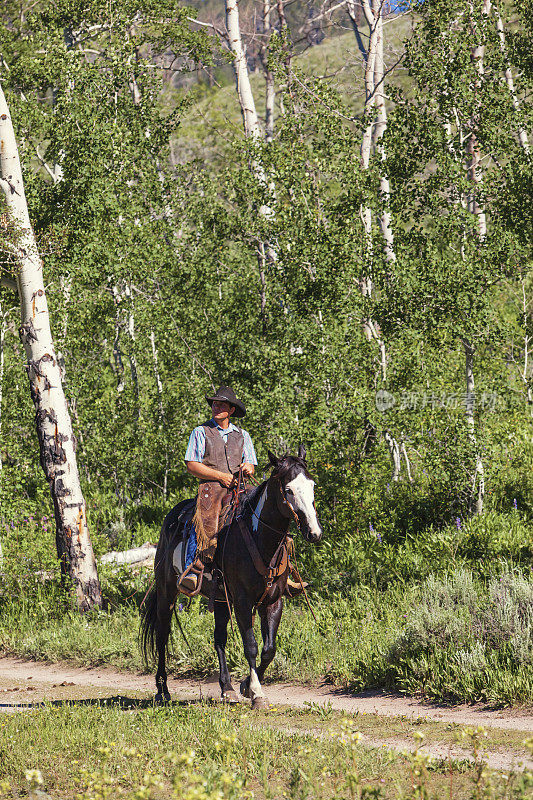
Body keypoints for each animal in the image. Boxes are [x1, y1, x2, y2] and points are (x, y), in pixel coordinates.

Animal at [140, 450, 320, 708]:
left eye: (312, 486)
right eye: (288, 490)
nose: (314, 532)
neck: (260, 540)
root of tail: (172, 516)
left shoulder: (273, 601)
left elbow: (269, 649)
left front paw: (245, 685)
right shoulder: (243, 602)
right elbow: (251, 646)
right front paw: (257, 693)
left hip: (220, 599)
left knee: (219, 639)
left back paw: (227, 688)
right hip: (167, 591)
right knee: (162, 634)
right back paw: (162, 690)